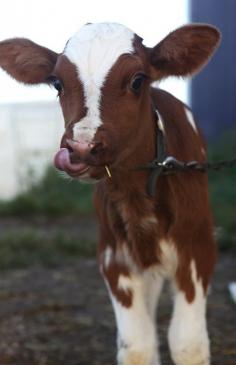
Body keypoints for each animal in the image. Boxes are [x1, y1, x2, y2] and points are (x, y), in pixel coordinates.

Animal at [0, 22, 221, 364]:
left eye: (137, 80)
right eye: (57, 83)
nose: (81, 148)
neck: (137, 199)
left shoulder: (197, 249)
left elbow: (188, 343)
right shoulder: (113, 258)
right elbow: (137, 346)